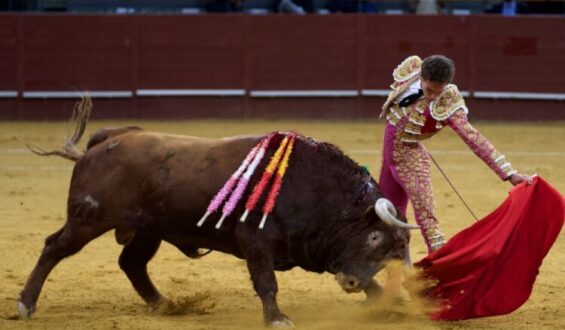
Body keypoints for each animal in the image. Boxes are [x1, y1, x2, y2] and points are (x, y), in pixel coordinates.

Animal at [18, 98, 414, 328]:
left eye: (394, 252)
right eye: (374, 236)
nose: (350, 284)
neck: (315, 186)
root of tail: (109, 139)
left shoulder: (314, 246)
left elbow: (362, 278)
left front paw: (387, 304)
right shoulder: (258, 240)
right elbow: (266, 281)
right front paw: (277, 318)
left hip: (149, 229)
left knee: (131, 262)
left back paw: (164, 305)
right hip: (90, 217)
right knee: (55, 247)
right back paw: (25, 304)